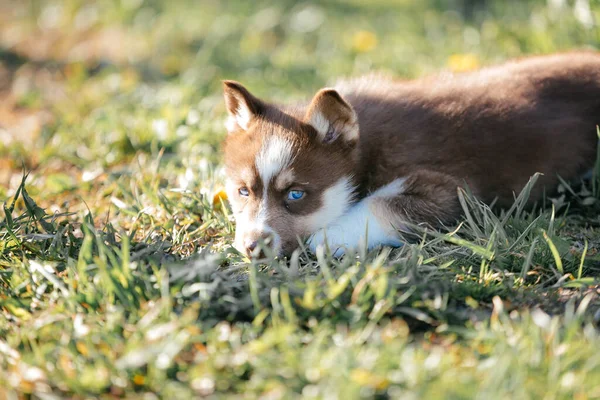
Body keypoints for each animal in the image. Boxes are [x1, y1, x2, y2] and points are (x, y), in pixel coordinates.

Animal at [221, 51, 600, 256]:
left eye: (296, 194)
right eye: (243, 191)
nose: (252, 246)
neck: (369, 144)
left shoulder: (450, 188)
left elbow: (379, 204)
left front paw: (330, 236)